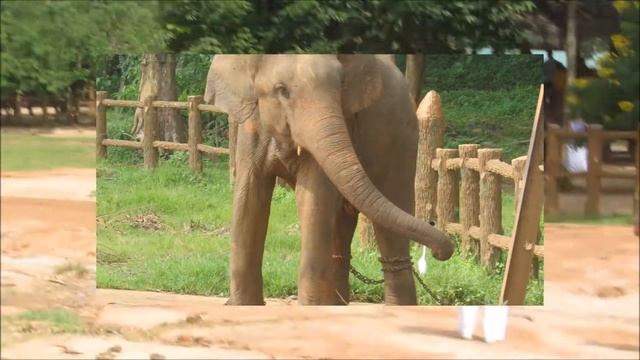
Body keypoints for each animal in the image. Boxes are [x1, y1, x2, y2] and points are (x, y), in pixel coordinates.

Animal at [202, 54, 452, 306]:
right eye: (281, 90)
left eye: (341, 86)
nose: (440, 252)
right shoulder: (251, 129)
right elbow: (250, 195)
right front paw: (244, 306)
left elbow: (311, 197)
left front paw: (309, 307)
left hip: (401, 139)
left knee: (391, 218)